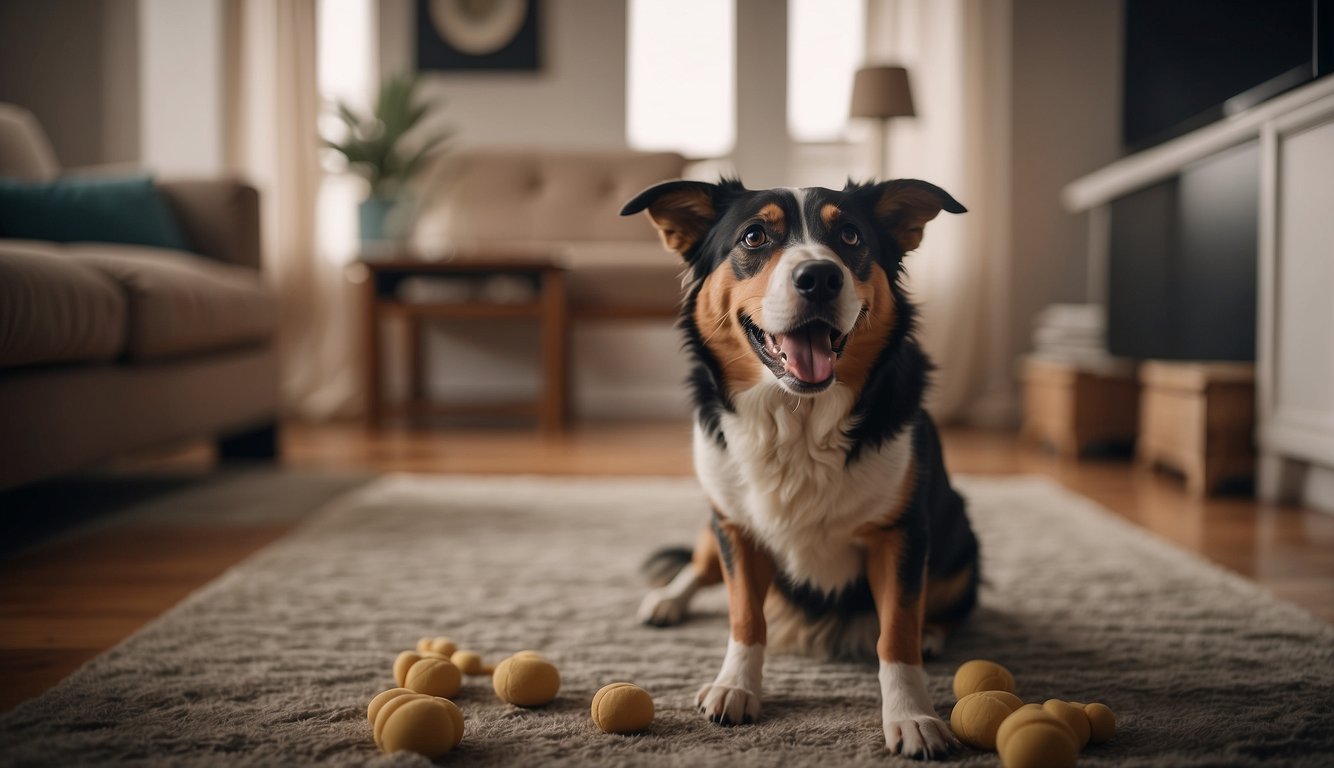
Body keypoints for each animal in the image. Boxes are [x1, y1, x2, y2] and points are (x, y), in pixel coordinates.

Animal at [621, 177, 981, 757]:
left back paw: (934, 631)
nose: (820, 276)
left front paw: (912, 715)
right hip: (715, 521)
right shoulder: (736, 528)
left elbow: (897, 632)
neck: (798, 421)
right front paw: (735, 687)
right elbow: (745, 616)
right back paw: (667, 600)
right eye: (754, 236)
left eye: (851, 235)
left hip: (959, 542)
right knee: (698, 566)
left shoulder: (901, 533)